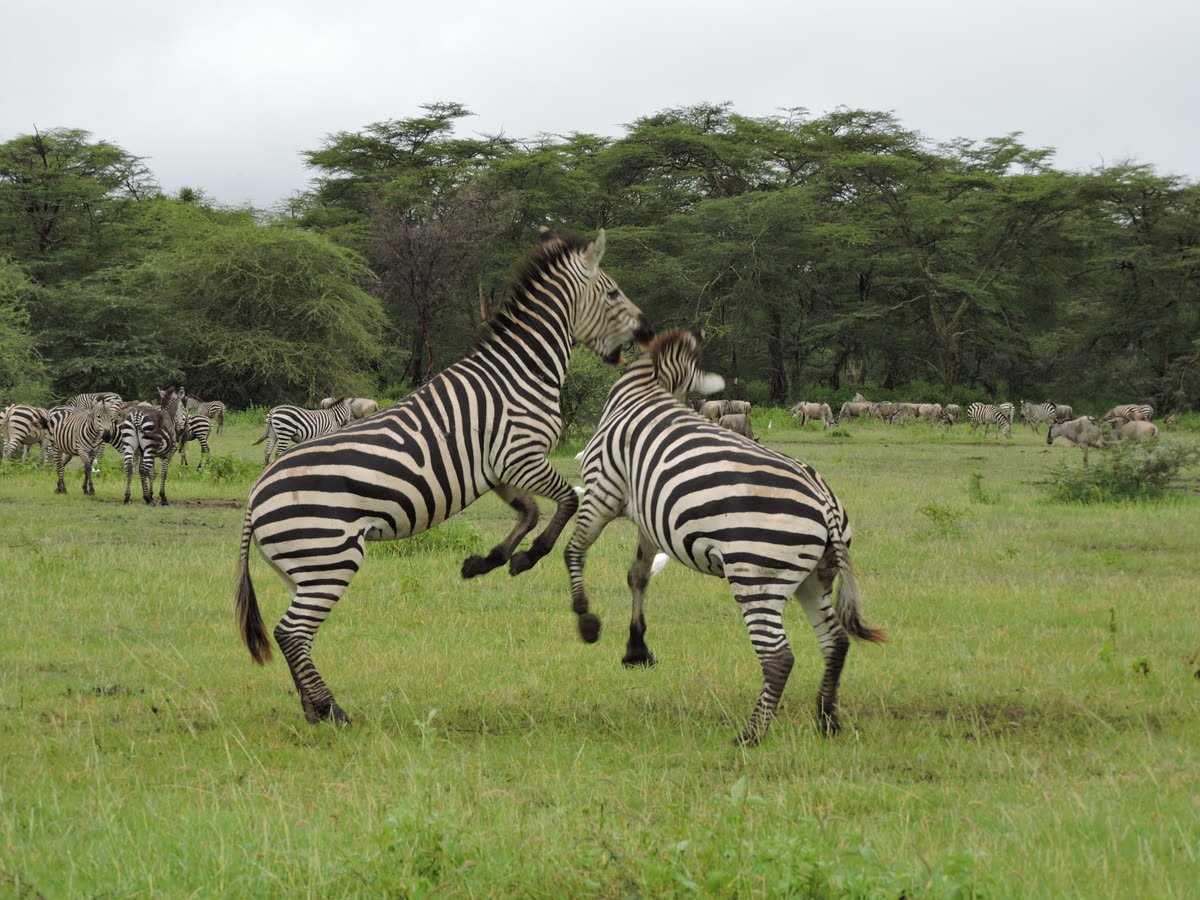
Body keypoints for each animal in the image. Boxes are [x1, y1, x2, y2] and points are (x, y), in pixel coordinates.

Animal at [234, 229, 652, 726]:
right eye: (613, 293)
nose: (648, 332)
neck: (523, 372)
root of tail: (254, 496)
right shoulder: (521, 455)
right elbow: (567, 500)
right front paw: (529, 557)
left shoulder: (496, 468)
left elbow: (529, 513)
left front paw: (488, 561)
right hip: (329, 558)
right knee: (292, 632)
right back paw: (333, 711)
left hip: (300, 568)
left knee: (291, 634)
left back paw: (314, 711)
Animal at [565, 331, 884, 745]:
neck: (646, 387)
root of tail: (825, 502)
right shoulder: (649, 516)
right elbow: (638, 576)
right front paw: (636, 649)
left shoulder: (602, 489)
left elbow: (574, 550)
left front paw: (586, 619)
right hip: (813, 579)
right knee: (836, 642)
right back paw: (826, 720)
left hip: (757, 575)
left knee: (779, 657)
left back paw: (751, 735)